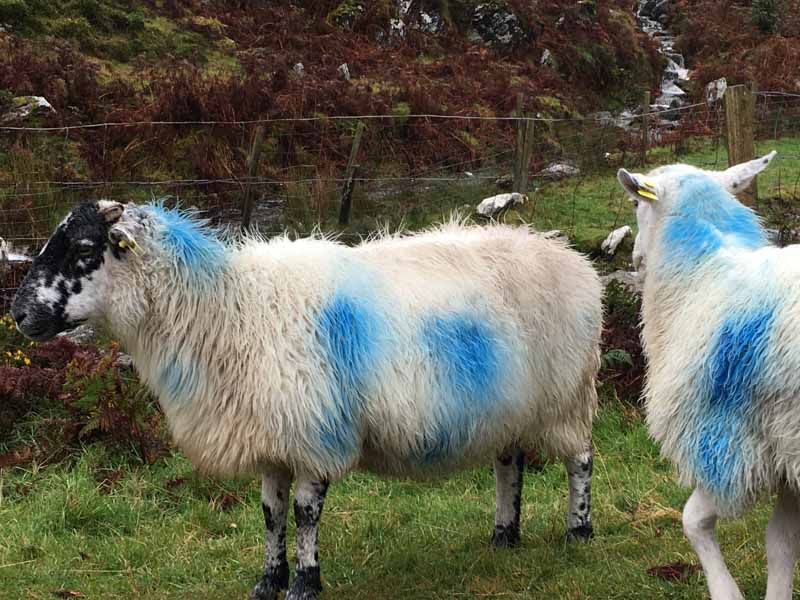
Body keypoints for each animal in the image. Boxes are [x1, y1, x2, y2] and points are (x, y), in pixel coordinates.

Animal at [10, 203, 600, 600]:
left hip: (568, 393)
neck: (226, 309)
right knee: (509, 462)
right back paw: (504, 535)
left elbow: (304, 513)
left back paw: (579, 531)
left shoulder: (314, 431)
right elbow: (270, 514)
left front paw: (305, 582)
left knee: (580, 460)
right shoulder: (271, 437)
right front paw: (267, 581)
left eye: (85, 250)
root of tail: (567, 253)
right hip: (511, 401)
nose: (17, 313)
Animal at [616, 152, 796, 600]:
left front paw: (726, 592)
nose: (635, 259)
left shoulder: (730, 449)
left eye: (635, 203)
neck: (701, 278)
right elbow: (782, 541)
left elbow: (693, 521)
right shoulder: (785, 460)